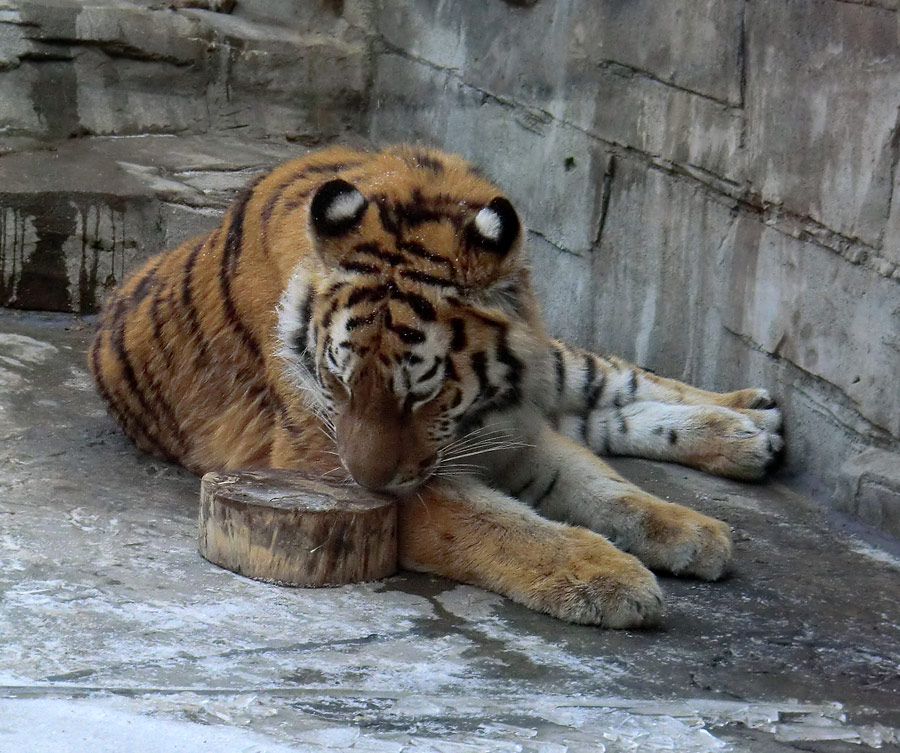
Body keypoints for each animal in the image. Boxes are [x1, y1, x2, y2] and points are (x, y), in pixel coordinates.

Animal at [88, 144, 784, 624]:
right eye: (338, 383)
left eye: (419, 393)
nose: (366, 487)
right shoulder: (321, 459)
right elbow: (501, 522)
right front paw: (611, 577)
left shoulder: (515, 427)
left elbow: (603, 487)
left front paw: (692, 531)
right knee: (607, 413)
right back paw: (755, 433)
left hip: (558, 364)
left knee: (614, 381)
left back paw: (751, 420)